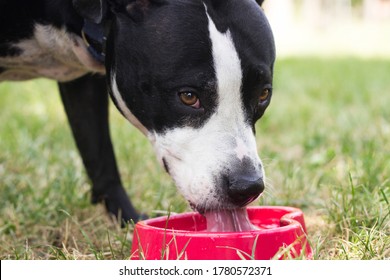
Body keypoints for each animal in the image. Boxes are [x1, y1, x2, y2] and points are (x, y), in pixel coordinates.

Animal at [0, 0, 276, 223]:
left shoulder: (88, 82)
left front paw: (126, 221)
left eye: (263, 95)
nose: (247, 187)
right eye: (188, 97)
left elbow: (98, 153)